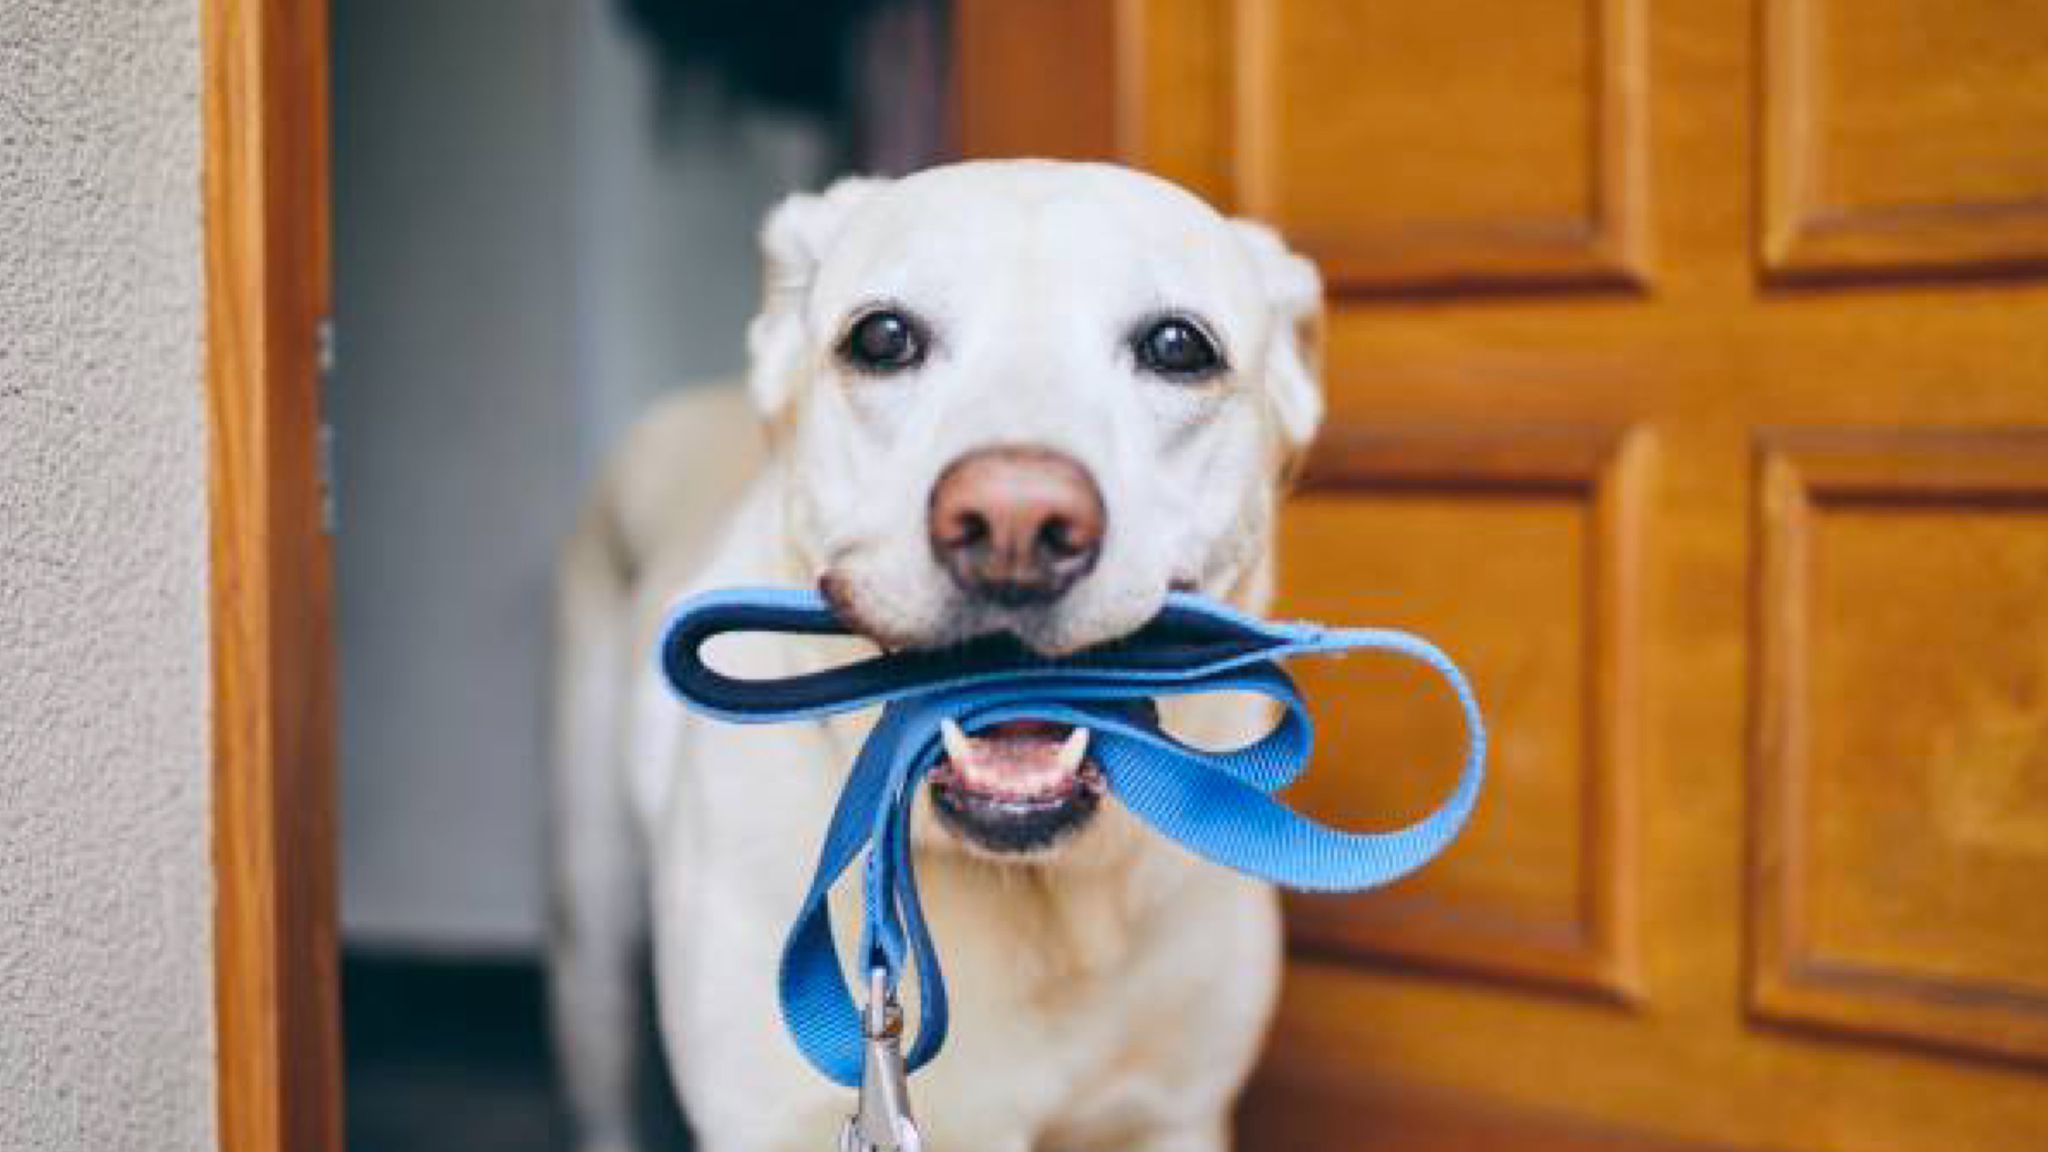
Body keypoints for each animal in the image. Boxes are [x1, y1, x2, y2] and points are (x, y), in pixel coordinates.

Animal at [552, 158, 1327, 1147]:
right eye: (883, 338)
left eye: (1177, 347)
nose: (1014, 522)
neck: (1031, 888)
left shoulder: (1176, 1115)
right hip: (590, 940)